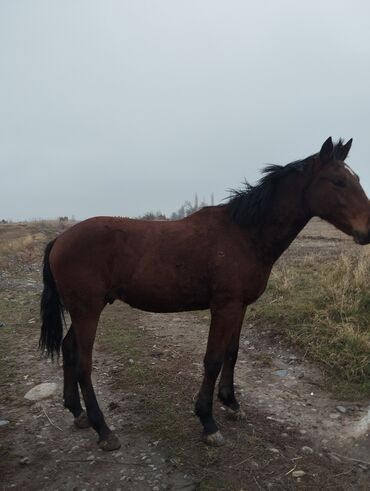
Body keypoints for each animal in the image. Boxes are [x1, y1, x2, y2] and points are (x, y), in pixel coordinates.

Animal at [39, 137, 370, 450]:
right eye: (338, 181)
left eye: (356, 179)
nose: (367, 230)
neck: (244, 235)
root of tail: (60, 239)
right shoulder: (224, 307)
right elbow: (212, 360)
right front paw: (208, 421)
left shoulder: (240, 306)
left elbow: (232, 353)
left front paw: (231, 403)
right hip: (88, 310)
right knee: (83, 365)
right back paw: (103, 430)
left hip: (85, 310)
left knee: (68, 350)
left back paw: (78, 413)